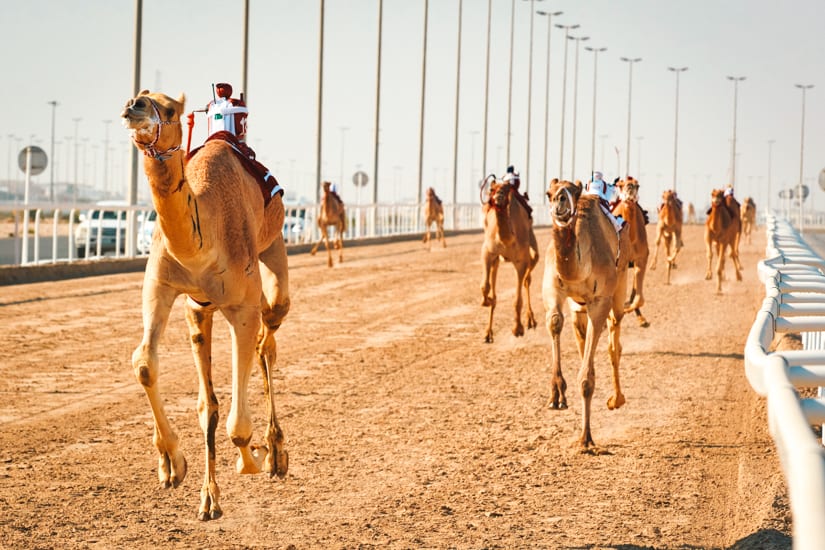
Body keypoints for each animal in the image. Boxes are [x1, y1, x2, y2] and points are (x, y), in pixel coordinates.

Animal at [120, 89, 290, 520]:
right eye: (138, 96)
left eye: (170, 109)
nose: (134, 107)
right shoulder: (161, 286)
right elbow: (146, 365)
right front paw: (174, 468)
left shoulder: (242, 307)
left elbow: (237, 425)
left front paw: (252, 459)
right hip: (199, 311)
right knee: (212, 394)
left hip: (272, 254)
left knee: (270, 333)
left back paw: (275, 450)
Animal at [476, 177, 540, 342]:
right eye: (492, 189)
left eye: (505, 190)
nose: (498, 197)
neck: (506, 239)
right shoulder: (488, 251)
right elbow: (485, 286)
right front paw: (486, 301)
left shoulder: (521, 261)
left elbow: (517, 299)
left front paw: (517, 329)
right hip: (497, 260)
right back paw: (488, 333)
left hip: (532, 246)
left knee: (528, 276)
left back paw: (531, 320)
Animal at [544, 179, 628, 450]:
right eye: (549, 193)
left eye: (573, 191)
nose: (559, 201)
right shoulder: (553, 287)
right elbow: (555, 321)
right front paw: (557, 394)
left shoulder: (600, 300)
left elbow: (587, 379)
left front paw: (586, 439)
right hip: (578, 305)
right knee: (583, 338)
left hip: (620, 286)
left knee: (614, 339)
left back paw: (617, 399)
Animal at [608, 179, 648, 328]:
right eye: (620, 185)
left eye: (638, 185)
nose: (630, 187)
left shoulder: (642, 258)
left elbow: (639, 298)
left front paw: (627, 308)